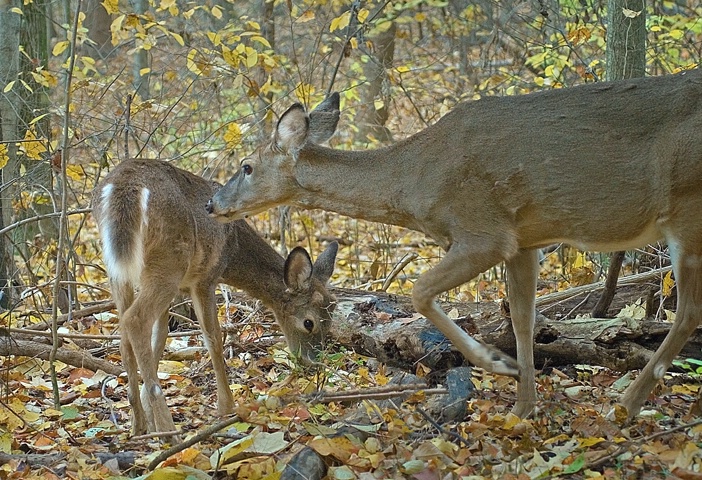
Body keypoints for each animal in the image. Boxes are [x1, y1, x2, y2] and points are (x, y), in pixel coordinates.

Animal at [92, 159, 340, 436]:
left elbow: (160, 339)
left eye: (332, 317)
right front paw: (226, 407)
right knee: (135, 320)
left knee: (124, 330)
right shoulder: (205, 278)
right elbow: (214, 338)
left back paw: (139, 425)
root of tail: (122, 187)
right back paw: (169, 431)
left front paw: (148, 415)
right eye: (309, 323)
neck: (233, 249)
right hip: (169, 261)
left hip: (118, 269)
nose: (313, 363)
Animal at [206, 68, 702, 420]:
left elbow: (419, 291)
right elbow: (523, 319)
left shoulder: (484, 231)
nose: (212, 204)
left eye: (247, 166)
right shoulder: (523, 240)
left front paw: (494, 363)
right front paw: (523, 403)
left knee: (688, 312)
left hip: (687, 207)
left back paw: (628, 403)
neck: (415, 180)